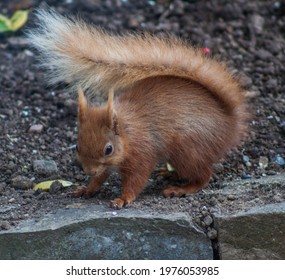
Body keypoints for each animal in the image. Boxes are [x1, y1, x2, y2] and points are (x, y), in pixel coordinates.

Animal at [27, 9, 247, 208]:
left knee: (203, 176)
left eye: (108, 149)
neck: (127, 132)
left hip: (188, 150)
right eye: (77, 146)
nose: (89, 170)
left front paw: (123, 199)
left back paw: (181, 189)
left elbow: (137, 179)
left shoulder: (142, 152)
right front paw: (86, 189)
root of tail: (230, 122)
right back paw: (169, 173)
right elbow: (101, 177)